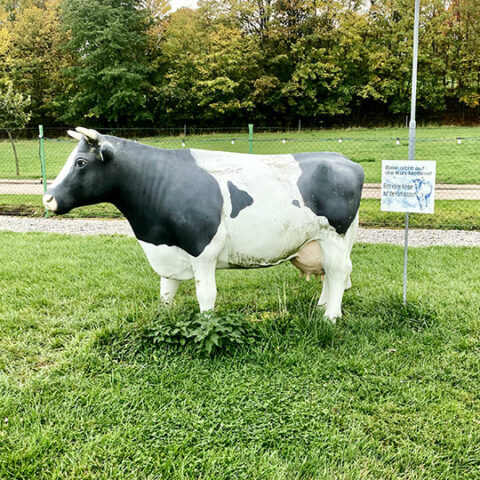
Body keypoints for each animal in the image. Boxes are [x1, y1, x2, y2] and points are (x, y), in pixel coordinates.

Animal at [44, 129, 364, 320]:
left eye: (81, 162)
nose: (48, 197)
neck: (148, 229)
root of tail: (346, 160)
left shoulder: (203, 248)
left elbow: (205, 293)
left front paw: (206, 323)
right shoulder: (167, 246)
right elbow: (166, 289)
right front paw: (163, 315)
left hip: (334, 236)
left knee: (338, 272)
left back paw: (330, 317)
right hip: (322, 240)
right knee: (331, 273)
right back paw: (322, 305)